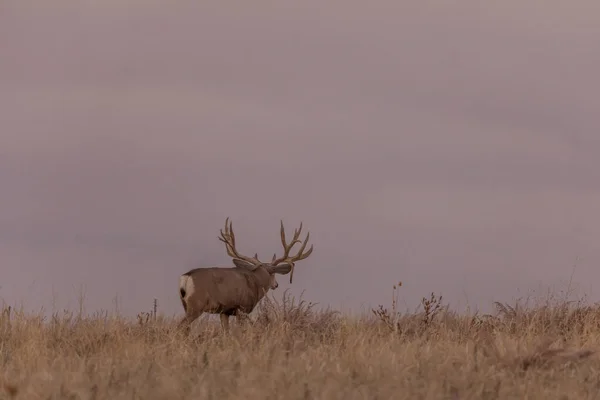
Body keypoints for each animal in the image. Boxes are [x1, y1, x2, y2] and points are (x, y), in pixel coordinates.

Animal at [177, 217, 314, 332]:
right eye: (273, 274)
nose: (276, 284)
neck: (256, 281)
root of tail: (186, 277)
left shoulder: (225, 311)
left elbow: (226, 332)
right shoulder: (242, 308)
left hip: (185, 304)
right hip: (196, 304)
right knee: (181, 326)